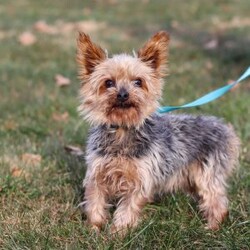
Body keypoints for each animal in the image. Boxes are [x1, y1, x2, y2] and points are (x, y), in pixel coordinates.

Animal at [76, 31, 240, 234]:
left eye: (138, 82)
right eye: (108, 82)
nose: (123, 94)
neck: (123, 129)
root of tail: (224, 128)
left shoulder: (141, 179)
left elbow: (128, 207)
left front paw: (118, 232)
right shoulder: (97, 173)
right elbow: (95, 200)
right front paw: (94, 228)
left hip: (207, 173)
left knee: (216, 199)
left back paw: (213, 227)